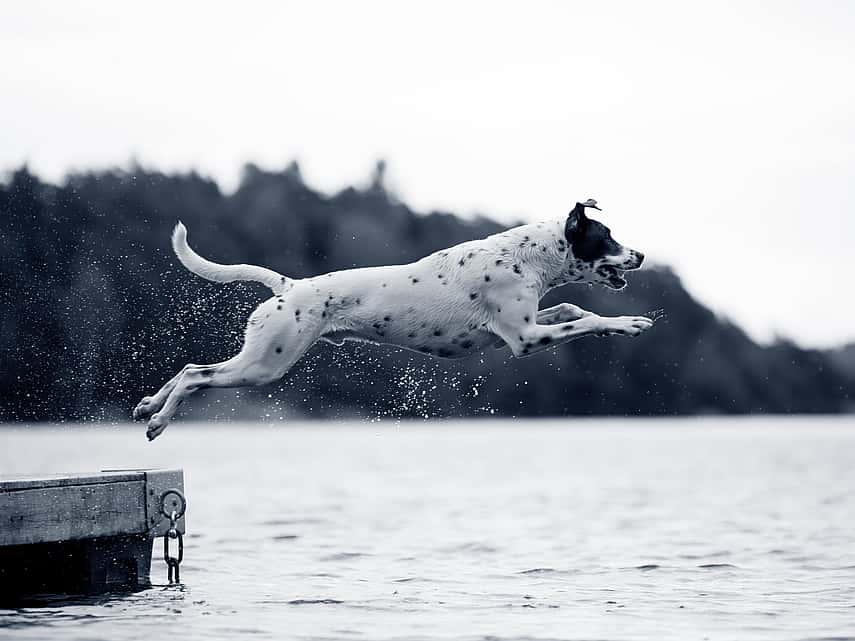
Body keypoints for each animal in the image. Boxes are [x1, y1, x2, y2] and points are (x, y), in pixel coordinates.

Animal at [135, 199, 656, 440]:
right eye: (608, 236)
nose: (642, 255)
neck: (527, 257)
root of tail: (289, 286)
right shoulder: (523, 338)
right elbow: (585, 321)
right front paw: (630, 323)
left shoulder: (523, 327)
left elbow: (574, 310)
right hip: (264, 365)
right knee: (196, 376)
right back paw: (158, 422)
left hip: (259, 360)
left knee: (188, 370)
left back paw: (147, 406)